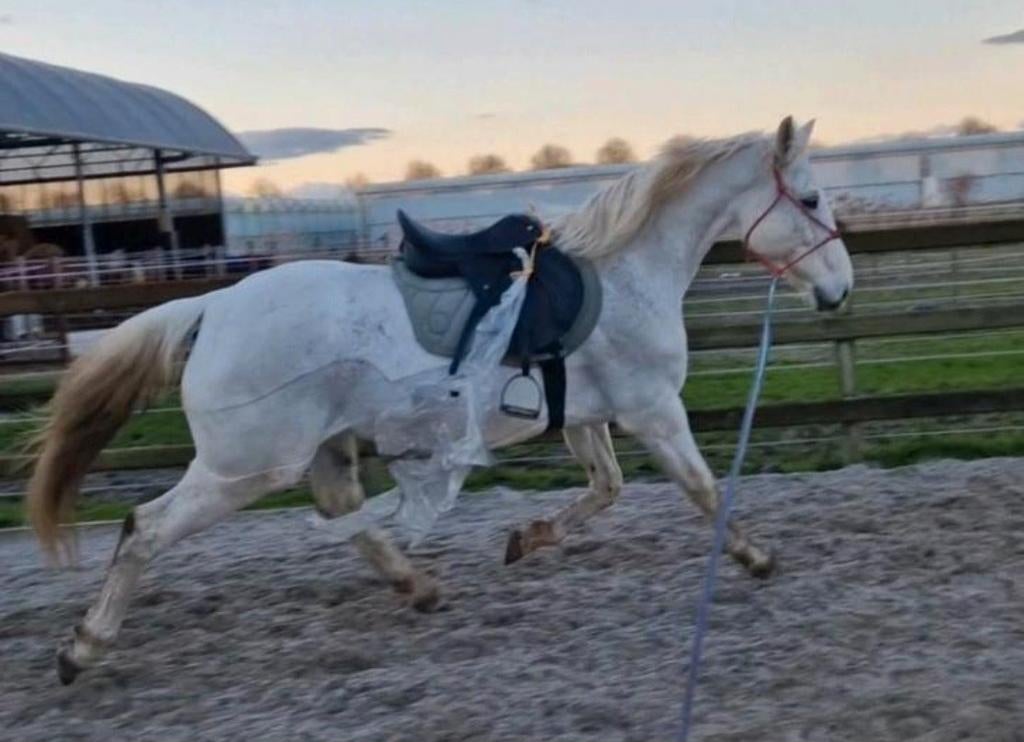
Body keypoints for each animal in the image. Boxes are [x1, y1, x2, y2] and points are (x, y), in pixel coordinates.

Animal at [28, 116, 853, 685]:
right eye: (811, 197)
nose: (841, 292)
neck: (626, 277)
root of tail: (212, 308)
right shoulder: (653, 410)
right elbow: (703, 488)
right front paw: (755, 556)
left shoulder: (583, 417)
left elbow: (606, 489)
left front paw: (527, 539)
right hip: (247, 467)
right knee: (144, 529)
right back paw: (82, 648)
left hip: (318, 447)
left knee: (343, 512)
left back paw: (419, 587)